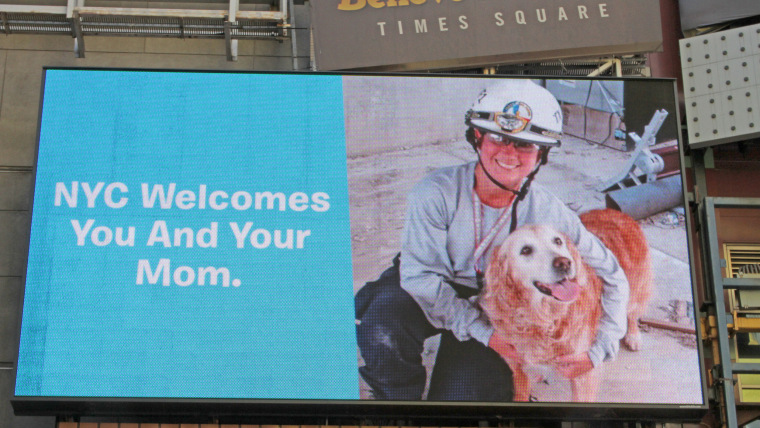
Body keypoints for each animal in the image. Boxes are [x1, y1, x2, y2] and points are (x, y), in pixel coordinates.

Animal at [480, 209, 652, 402]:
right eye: (525, 250)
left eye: (557, 241)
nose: (564, 263)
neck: (544, 319)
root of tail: (617, 212)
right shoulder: (517, 366)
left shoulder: (583, 373)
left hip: (635, 290)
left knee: (631, 314)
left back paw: (633, 336)